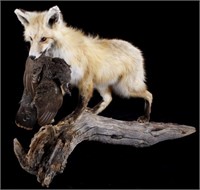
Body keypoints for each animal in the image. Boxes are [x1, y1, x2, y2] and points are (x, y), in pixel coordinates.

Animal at [14, 5, 153, 123]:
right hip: (103, 85)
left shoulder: (85, 80)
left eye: (43, 39)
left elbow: (82, 102)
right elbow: (56, 97)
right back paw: (94, 111)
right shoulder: (65, 80)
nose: (32, 57)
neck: (62, 53)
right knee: (109, 98)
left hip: (125, 89)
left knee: (149, 95)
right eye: (31, 39)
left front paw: (73, 117)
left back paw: (146, 117)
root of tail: (137, 50)